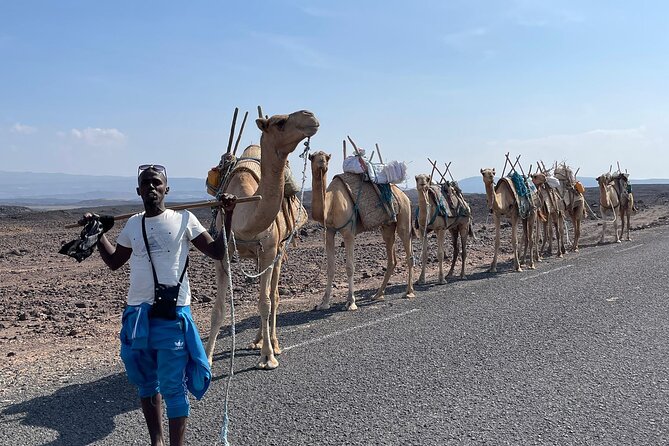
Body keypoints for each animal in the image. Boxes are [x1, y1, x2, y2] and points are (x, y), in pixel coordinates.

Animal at [204, 110, 318, 372]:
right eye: (280, 122)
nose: (311, 116)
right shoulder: (223, 253)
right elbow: (218, 309)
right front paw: (207, 358)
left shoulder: (269, 250)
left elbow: (265, 302)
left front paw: (268, 357)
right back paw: (257, 340)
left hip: (279, 251)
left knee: (273, 296)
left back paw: (272, 343)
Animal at [306, 150, 412, 310]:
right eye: (313, 157)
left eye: (326, 158)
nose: (322, 163)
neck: (331, 204)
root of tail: (403, 194)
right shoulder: (329, 232)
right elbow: (330, 268)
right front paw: (323, 303)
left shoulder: (348, 232)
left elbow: (350, 267)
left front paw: (351, 302)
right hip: (387, 226)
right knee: (392, 259)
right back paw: (378, 294)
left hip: (404, 215)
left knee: (408, 251)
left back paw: (409, 292)